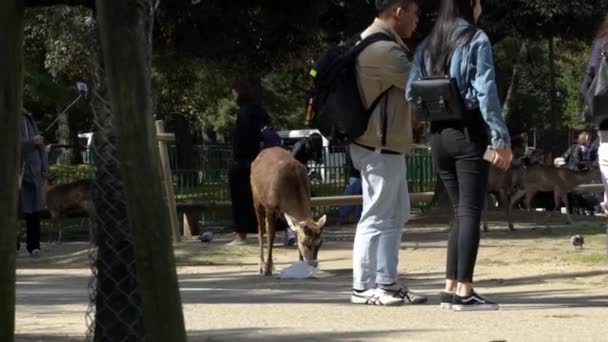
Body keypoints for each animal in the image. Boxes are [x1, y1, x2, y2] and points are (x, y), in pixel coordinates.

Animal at [251, 147, 330, 276]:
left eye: (320, 242)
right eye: (305, 242)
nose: (313, 264)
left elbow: (293, 232)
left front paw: (300, 263)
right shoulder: (270, 207)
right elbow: (271, 235)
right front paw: (267, 270)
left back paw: (272, 265)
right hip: (256, 198)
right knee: (261, 230)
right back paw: (262, 266)